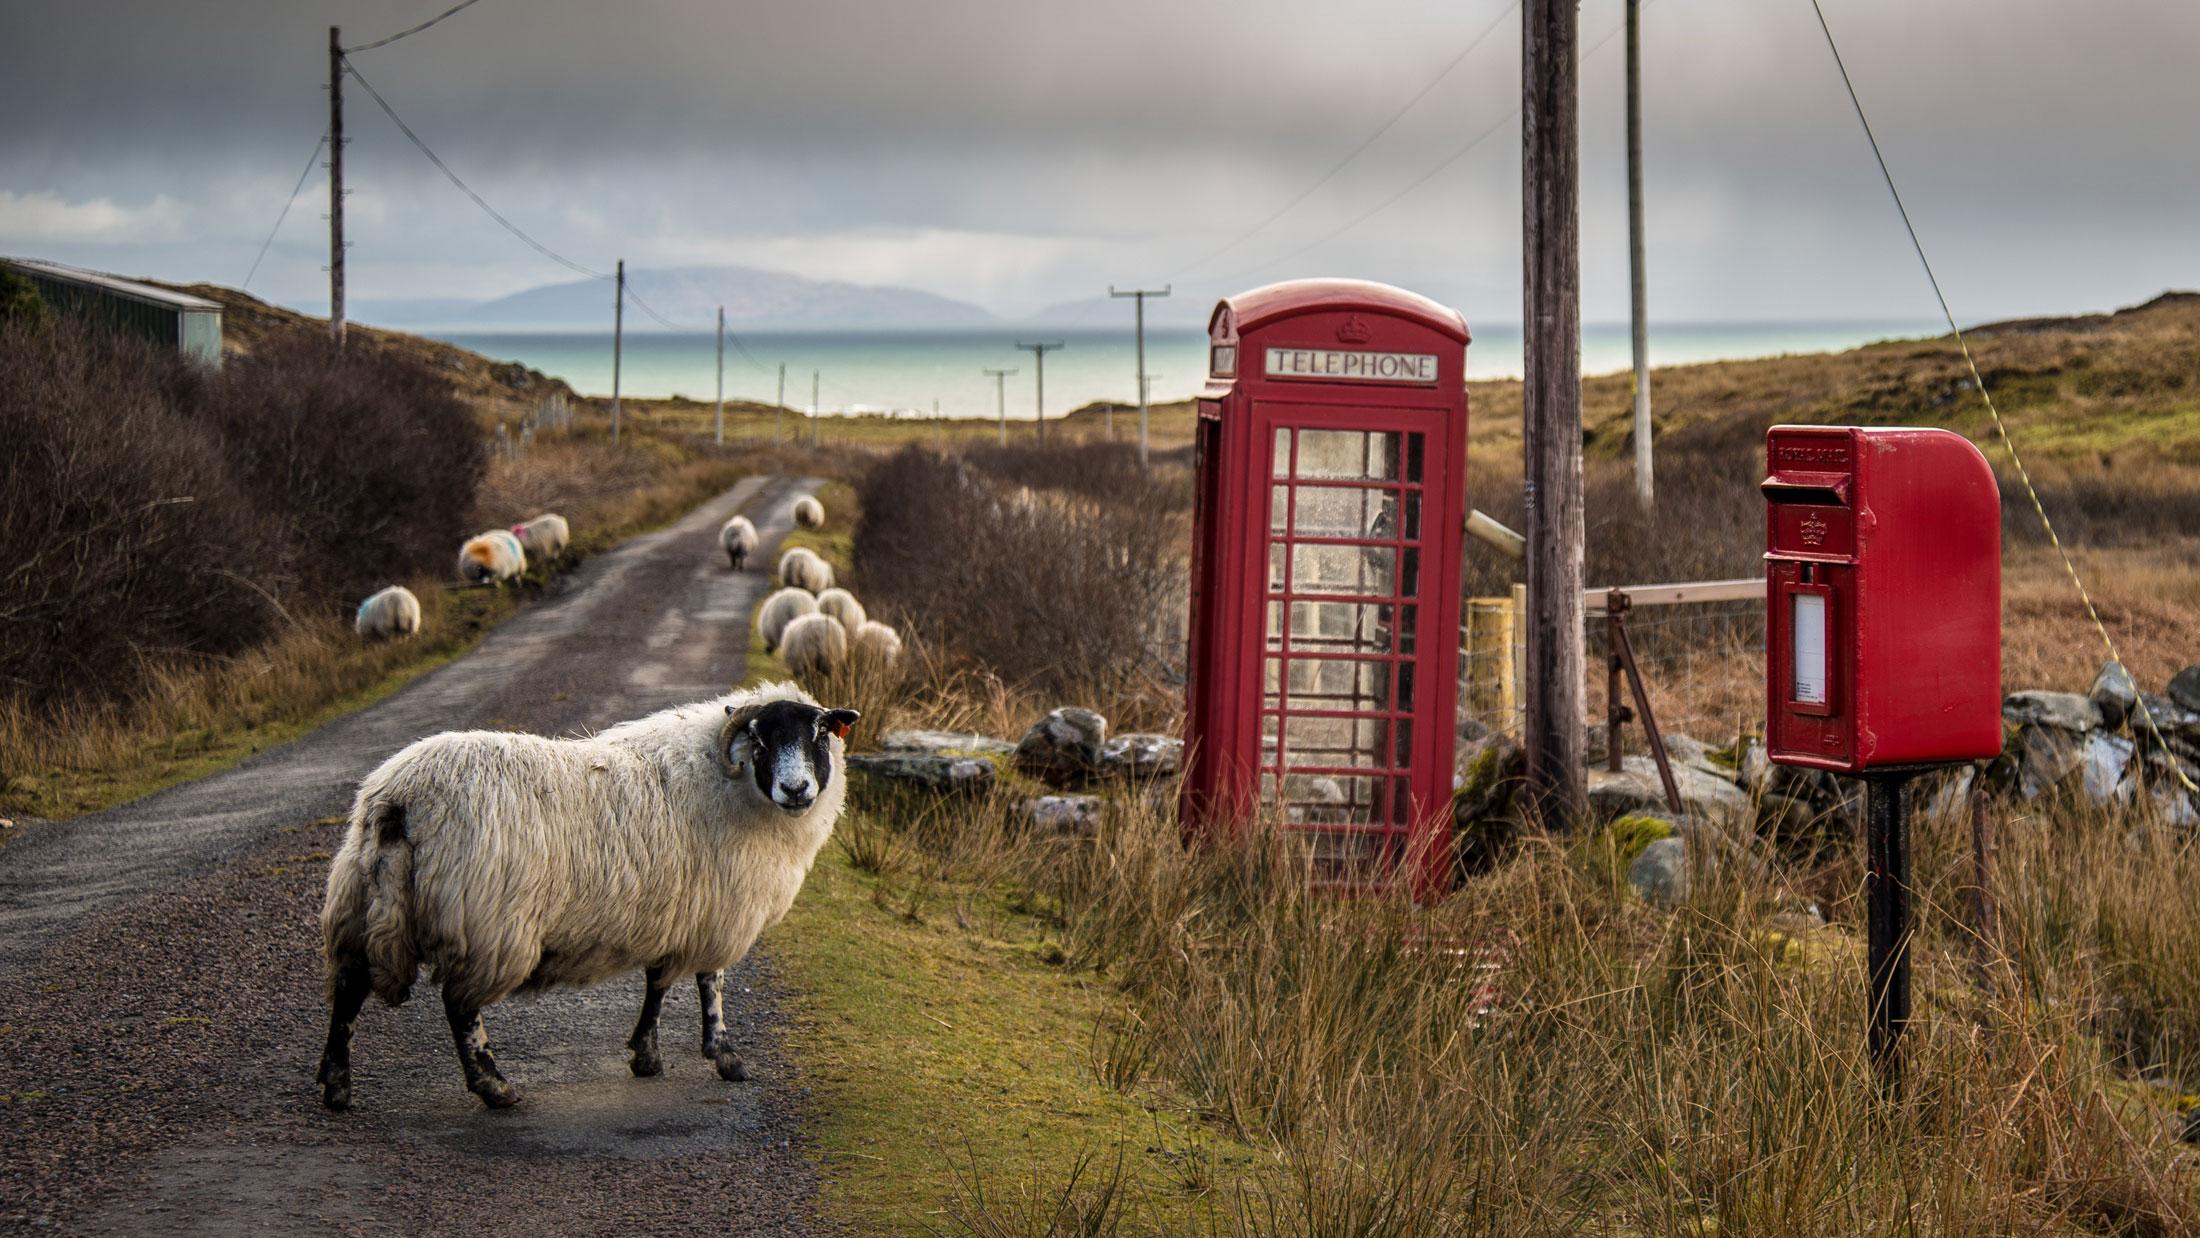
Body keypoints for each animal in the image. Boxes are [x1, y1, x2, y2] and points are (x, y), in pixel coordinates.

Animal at [319, 686, 858, 1112]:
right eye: (762, 739)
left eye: (819, 735)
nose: (796, 788)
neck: (728, 781)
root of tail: (397, 801)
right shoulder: (719, 910)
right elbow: (711, 984)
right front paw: (725, 1056)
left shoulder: (672, 909)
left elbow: (658, 982)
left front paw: (646, 1054)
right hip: (485, 923)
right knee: (459, 1007)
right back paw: (495, 1087)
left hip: (359, 902)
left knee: (348, 987)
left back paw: (336, 1085)